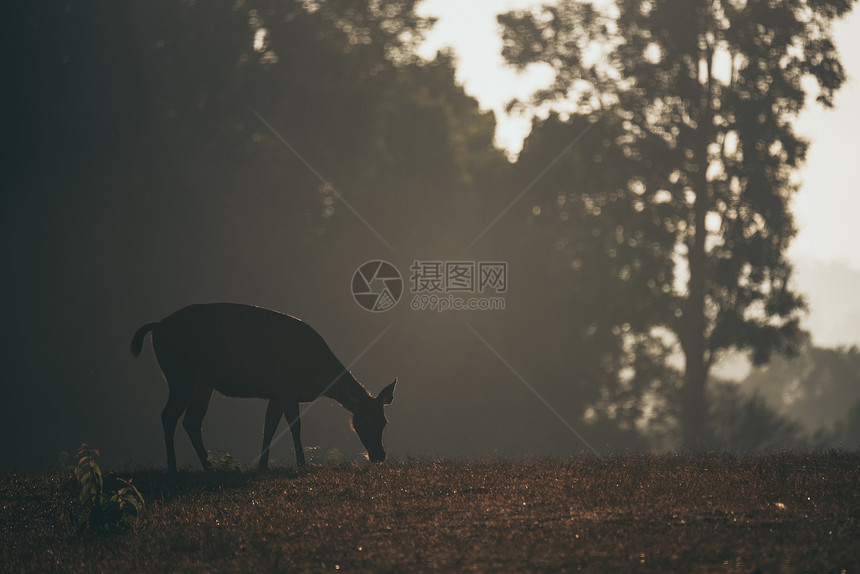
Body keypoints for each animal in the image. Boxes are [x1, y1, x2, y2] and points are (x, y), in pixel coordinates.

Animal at [129, 304, 398, 474]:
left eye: (384, 422)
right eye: (364, 422)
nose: (379, 455)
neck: (317, 377)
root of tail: (156, 327)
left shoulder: (275, 393)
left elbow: (268, 428)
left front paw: (262, 466)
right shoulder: (286, 387)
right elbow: (294, 426)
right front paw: (302, 465)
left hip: (202, 384)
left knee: (191, 421)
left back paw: (209, 466)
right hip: (179, 374)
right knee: (168, 416)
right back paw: (173, 467)